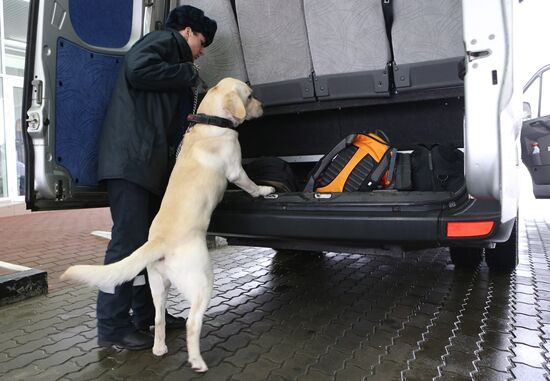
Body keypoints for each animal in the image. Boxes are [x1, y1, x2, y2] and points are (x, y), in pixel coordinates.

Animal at [61, 77, 276, 372]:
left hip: (158, 285)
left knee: (159, 318)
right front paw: (265, 190)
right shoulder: (235, 170)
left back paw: (159, 348)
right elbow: (250, 184)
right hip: (202, 280)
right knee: (192, 323)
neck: (211, 120)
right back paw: (197, 361)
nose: (264, 106)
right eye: (251, 96)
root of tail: (158, 242)